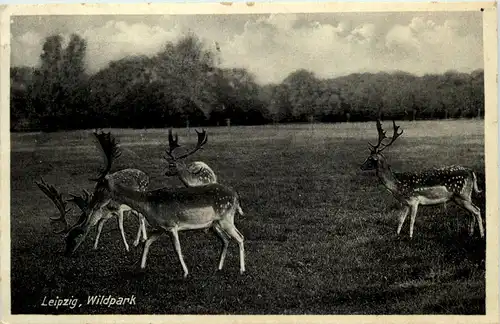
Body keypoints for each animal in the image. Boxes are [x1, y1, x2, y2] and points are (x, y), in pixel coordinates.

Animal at [86, 130, 246, 278]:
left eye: (99, 187)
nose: (92, 204)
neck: (148, 204)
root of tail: (236, 197)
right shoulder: (160, 227)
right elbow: (147, 242)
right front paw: (141, 267)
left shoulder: (171, 225)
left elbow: (177, 249)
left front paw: (186, 272)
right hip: (215, 223)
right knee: (226, 239)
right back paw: (219, 267)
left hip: (226, 218)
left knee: (240, 237)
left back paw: (242, 269)